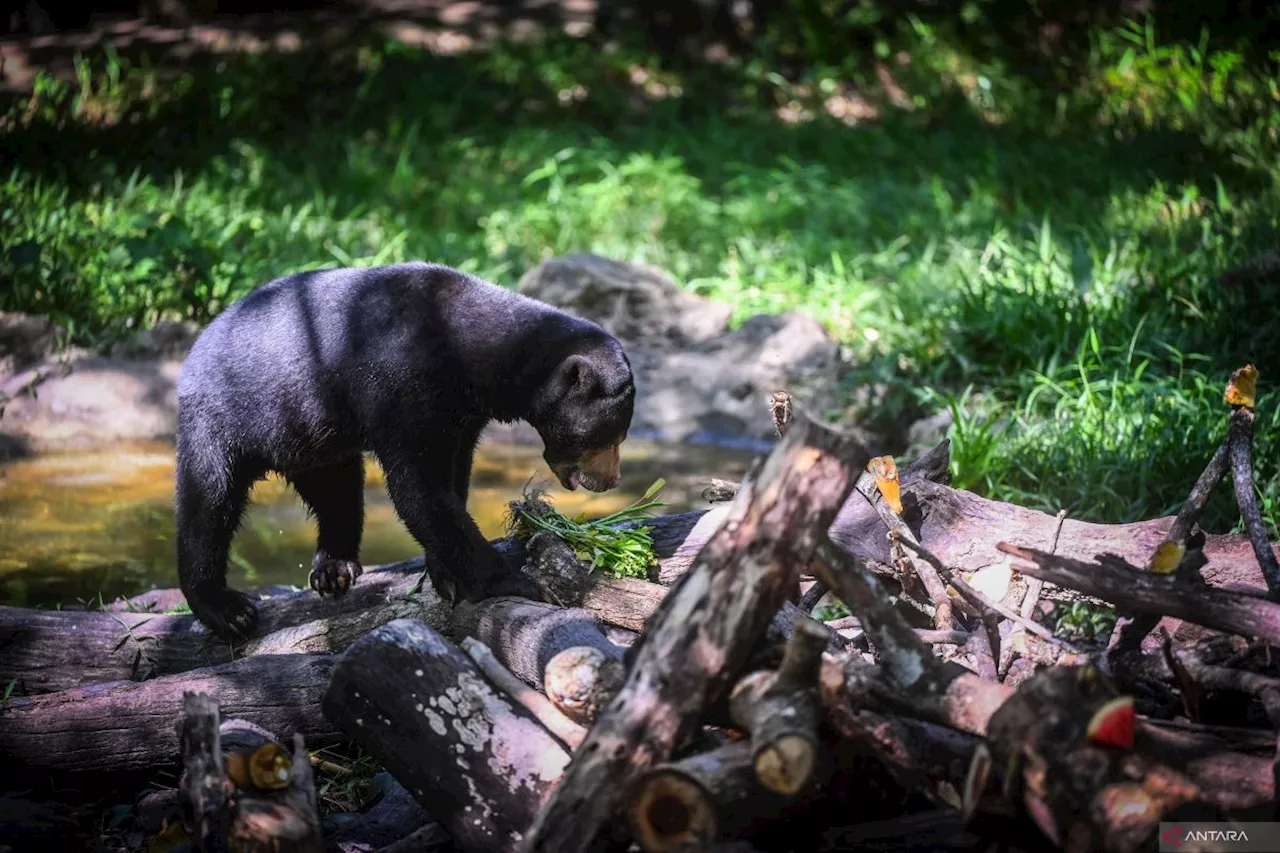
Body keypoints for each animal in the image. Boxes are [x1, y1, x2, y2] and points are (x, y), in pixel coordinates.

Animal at [175, 258, 634, 637]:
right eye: (608, 437)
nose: (609, 480)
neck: (465, 352)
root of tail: (196, 347)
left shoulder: (461, 416)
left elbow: (452, 478)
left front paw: (444, 572)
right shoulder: (402, 385)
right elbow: (418, 490)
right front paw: (519, 583)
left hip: (311, 430)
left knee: (337, 489)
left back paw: (333, 567)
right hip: (224, 417)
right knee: (209, 502)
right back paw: (224, 608)